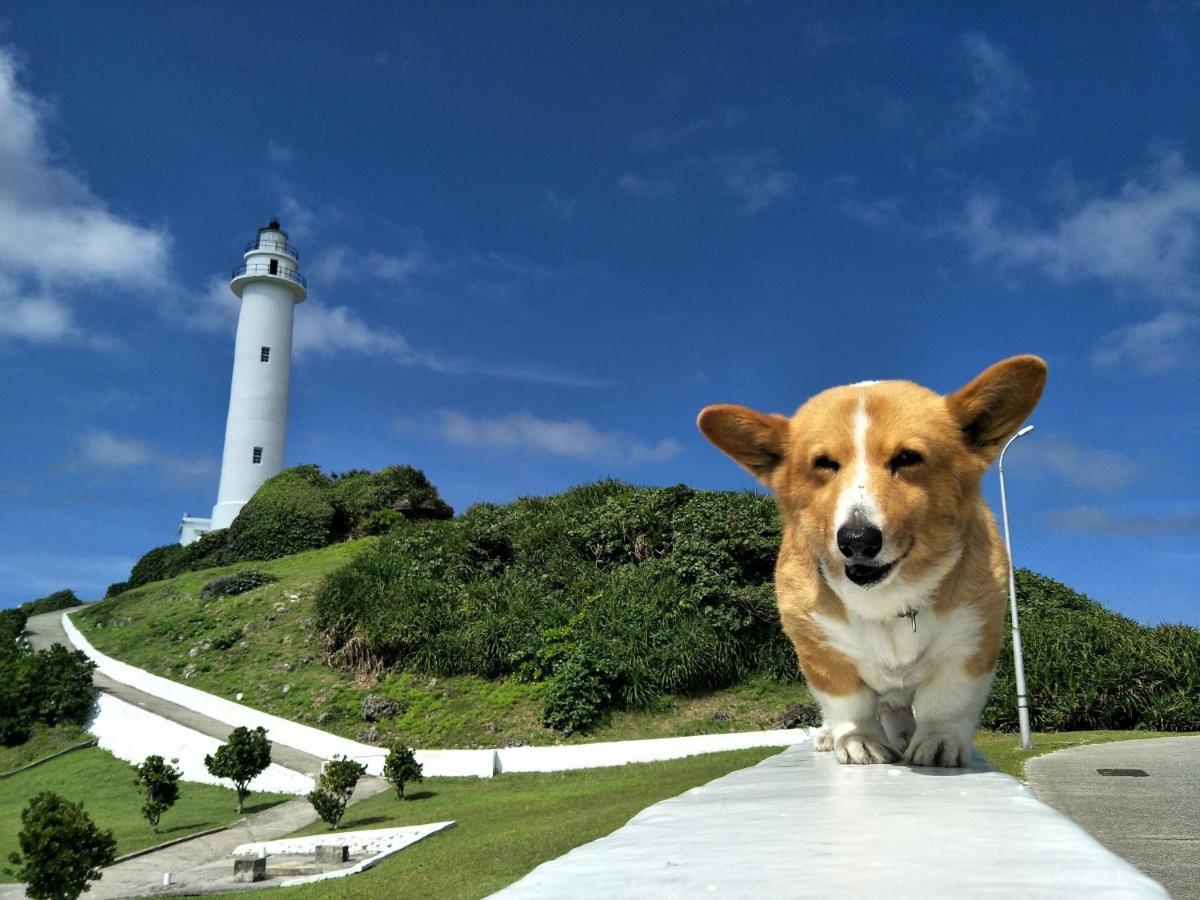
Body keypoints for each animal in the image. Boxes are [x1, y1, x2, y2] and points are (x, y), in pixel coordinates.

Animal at [700, 357, 1046, 768]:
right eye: (824, 463)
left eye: (907, 458)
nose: (856, 541)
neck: (887, 600)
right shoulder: (819, 652)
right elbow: (849, 704)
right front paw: (859, 741)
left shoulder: (971, 644)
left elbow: (946, 701)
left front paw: (938, 741)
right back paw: (830, 735)